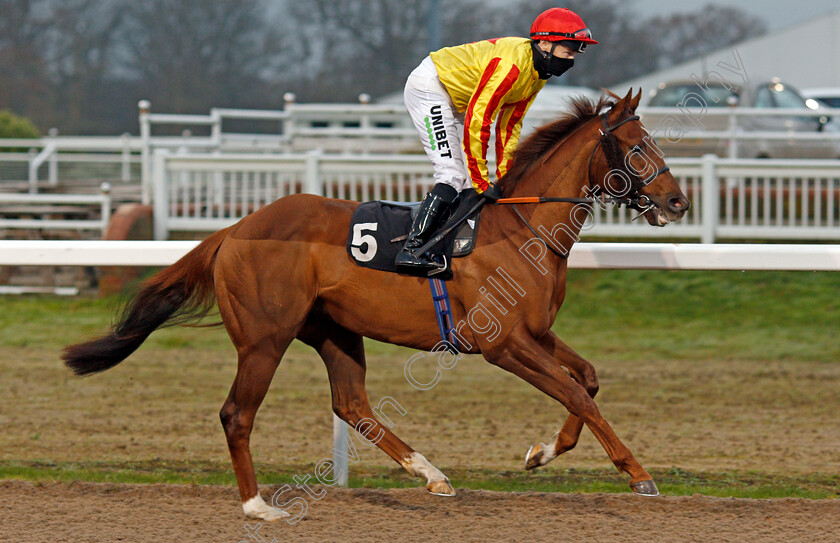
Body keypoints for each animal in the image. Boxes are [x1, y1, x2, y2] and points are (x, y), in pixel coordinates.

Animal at [64, 90, 688, 524]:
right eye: (638, 146)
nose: (678, 201)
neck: (521, 230)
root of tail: (235, 229)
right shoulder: (503, 344)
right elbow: (576, 392)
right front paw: (639, 475)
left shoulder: (533, 333)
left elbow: (587, 380)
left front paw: (542, 453)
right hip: (265, 338)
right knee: (237, 414)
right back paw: (257, 506)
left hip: (334, 331)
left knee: (352, 404)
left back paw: (431, 474)